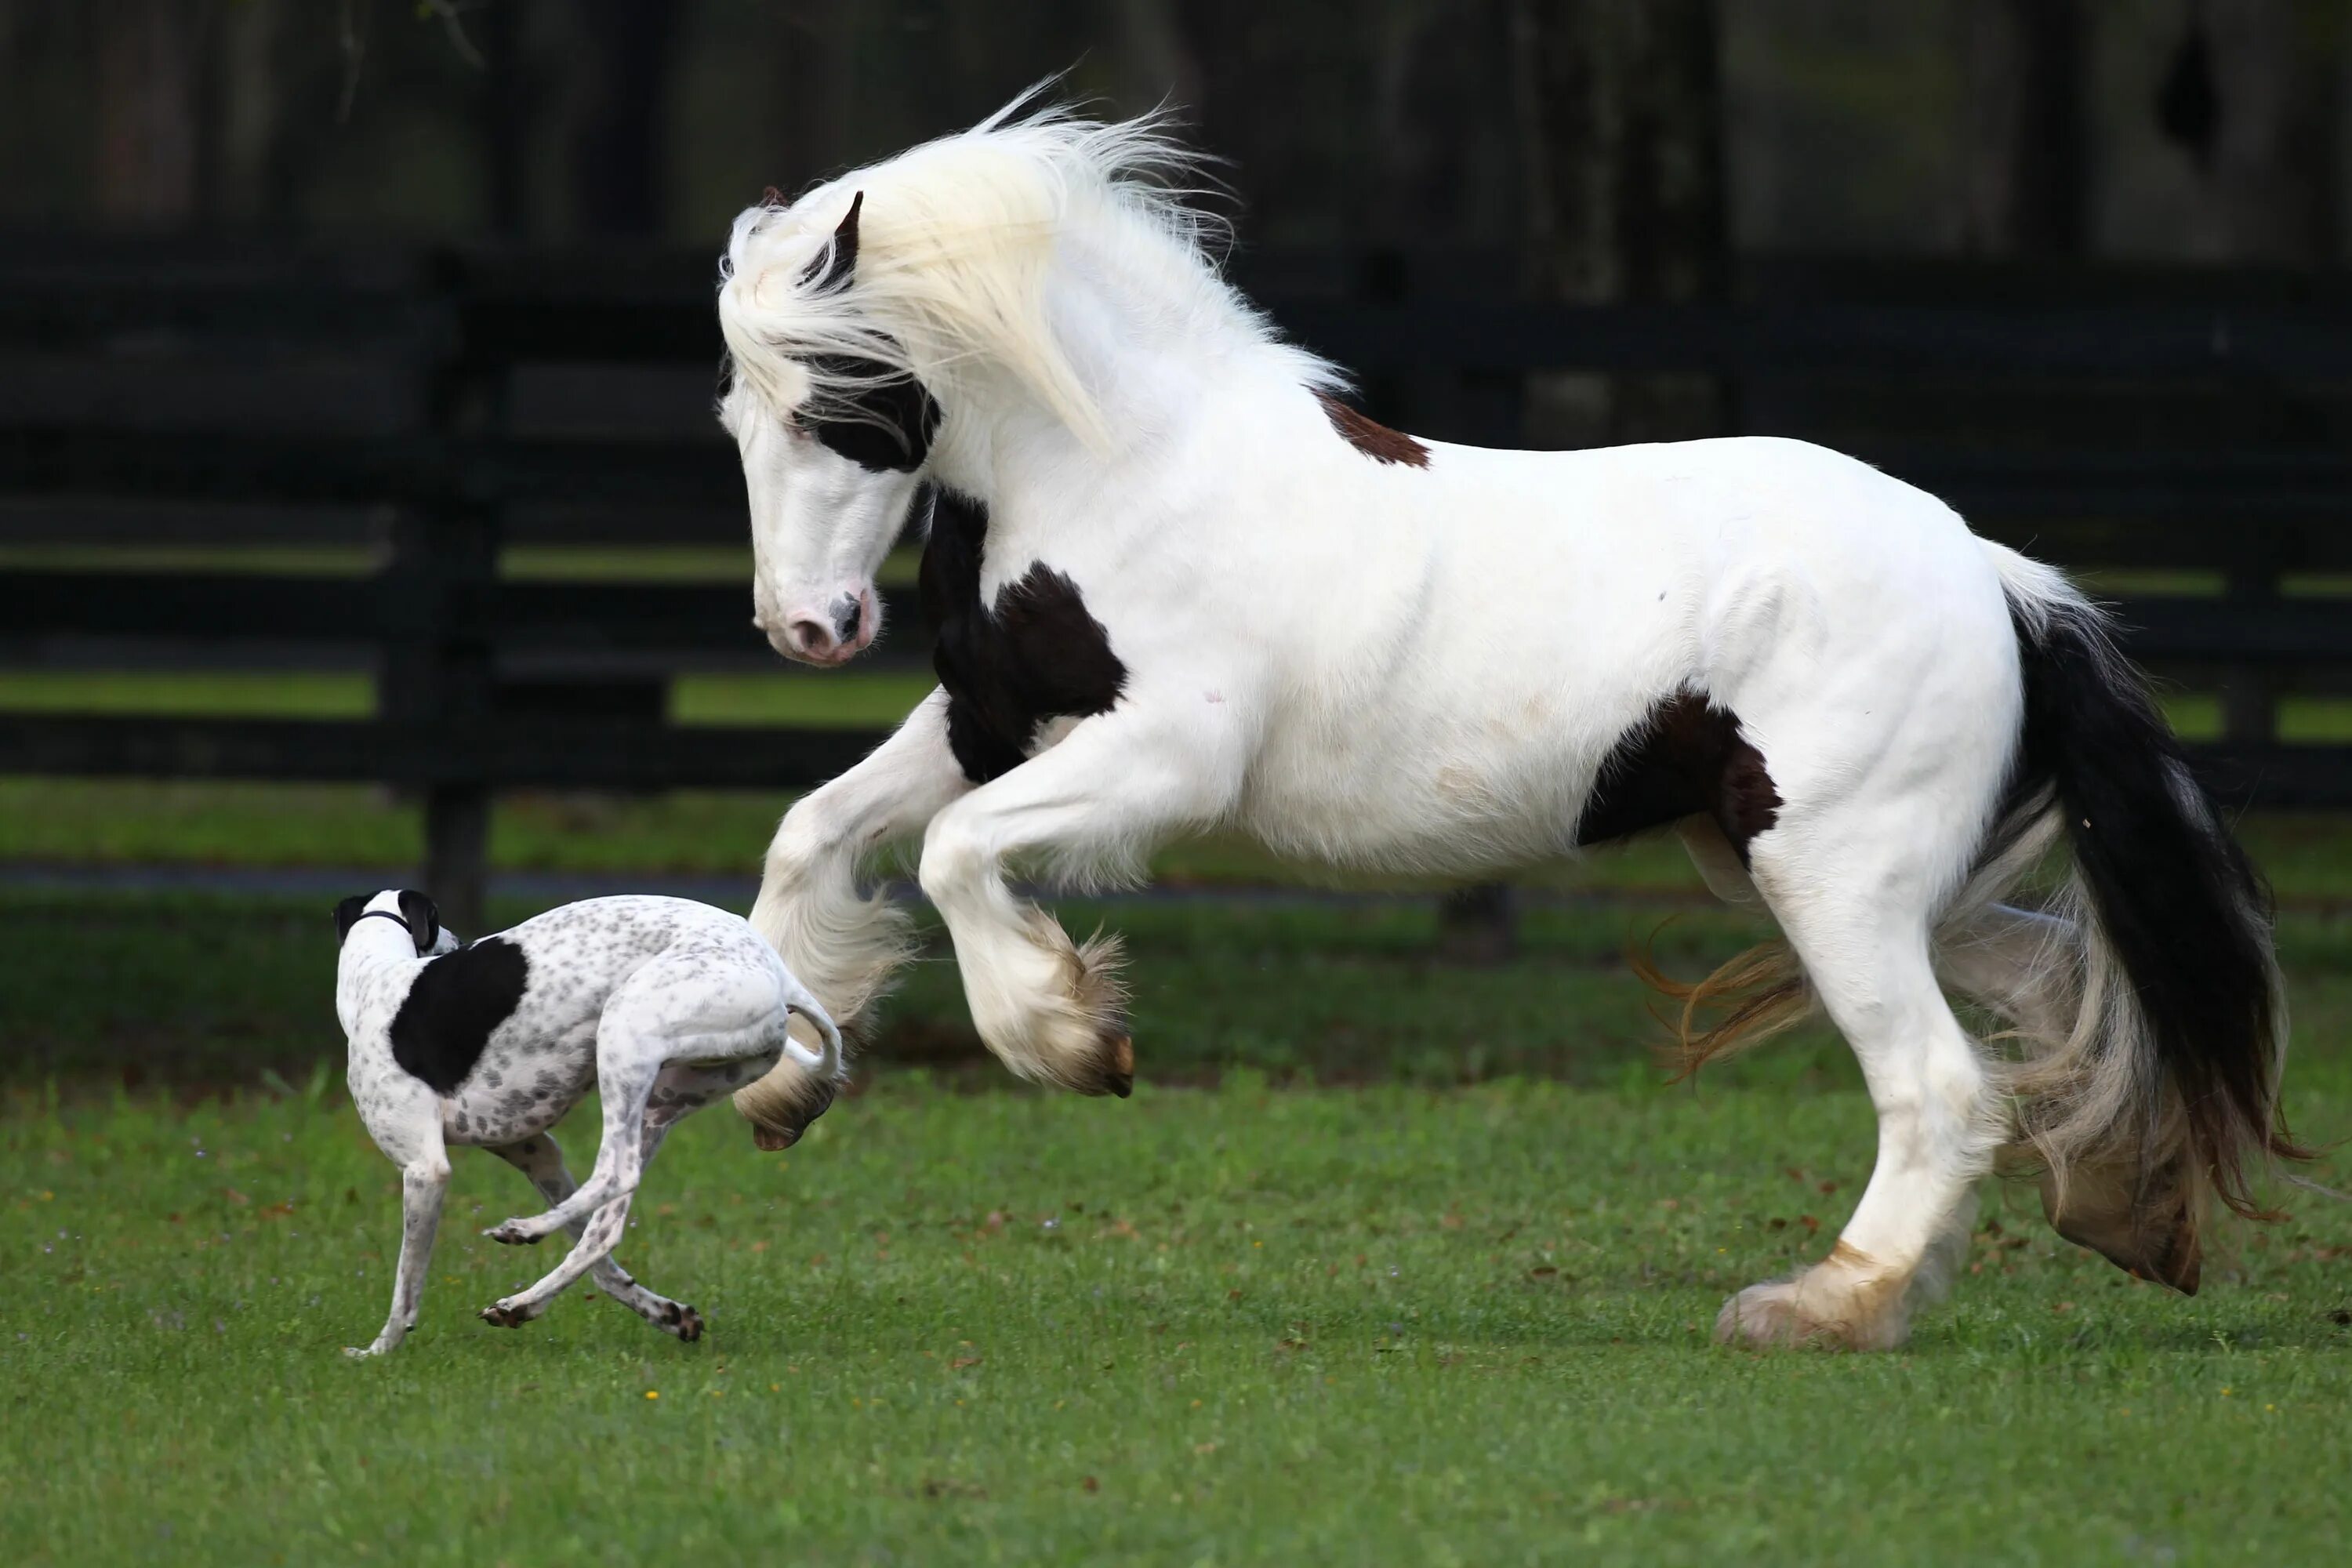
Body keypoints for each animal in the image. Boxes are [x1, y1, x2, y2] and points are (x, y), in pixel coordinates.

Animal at [336, 888, 842, 1354]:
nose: (459, 940)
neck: (374, 976)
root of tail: (780, 973)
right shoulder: (537, 1154)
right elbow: (603, 1261)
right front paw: (668, 1314)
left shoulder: (425, 1170)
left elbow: (407, 1281)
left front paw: (379, 1349)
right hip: (661, 1098)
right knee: (604, 1229)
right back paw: (523, 1302)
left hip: (623, 1032)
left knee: (616, 1172)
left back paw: (526, 1231)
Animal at [710, 95, 2296, 1354]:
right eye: (740, 415)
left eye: (830, 406)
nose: (807, 631)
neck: (1129, 467)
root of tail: (1998, 573)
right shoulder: (988, 717)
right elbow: (812, 837)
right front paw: (784, 1084)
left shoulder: (1166, 757)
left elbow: (956, 856)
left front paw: (1067, 1035)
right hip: (1825, 872)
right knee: (2045, 982)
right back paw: (2118, 1209)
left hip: (1835, 877)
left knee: (1941, 1090)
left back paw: (1819, 1309)